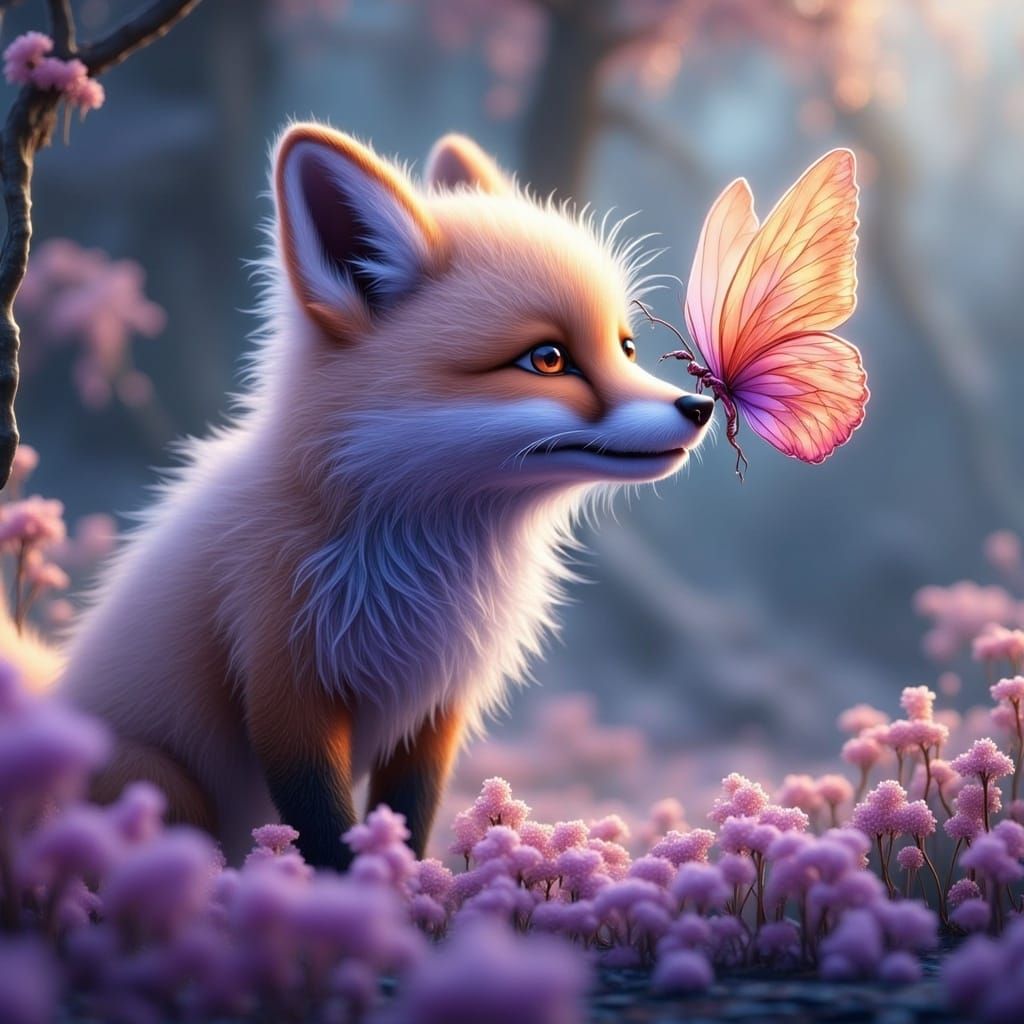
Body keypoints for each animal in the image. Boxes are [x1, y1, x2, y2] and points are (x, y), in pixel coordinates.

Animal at [38, 124, 715, 868]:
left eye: (626, 347)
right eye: (548, 359)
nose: (702, 405)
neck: (417, 569)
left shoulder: (436, 708)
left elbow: (408, 814)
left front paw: (409, 881)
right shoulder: (283, 684)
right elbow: (325, 830)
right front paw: (361, 894)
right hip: (161, 784)